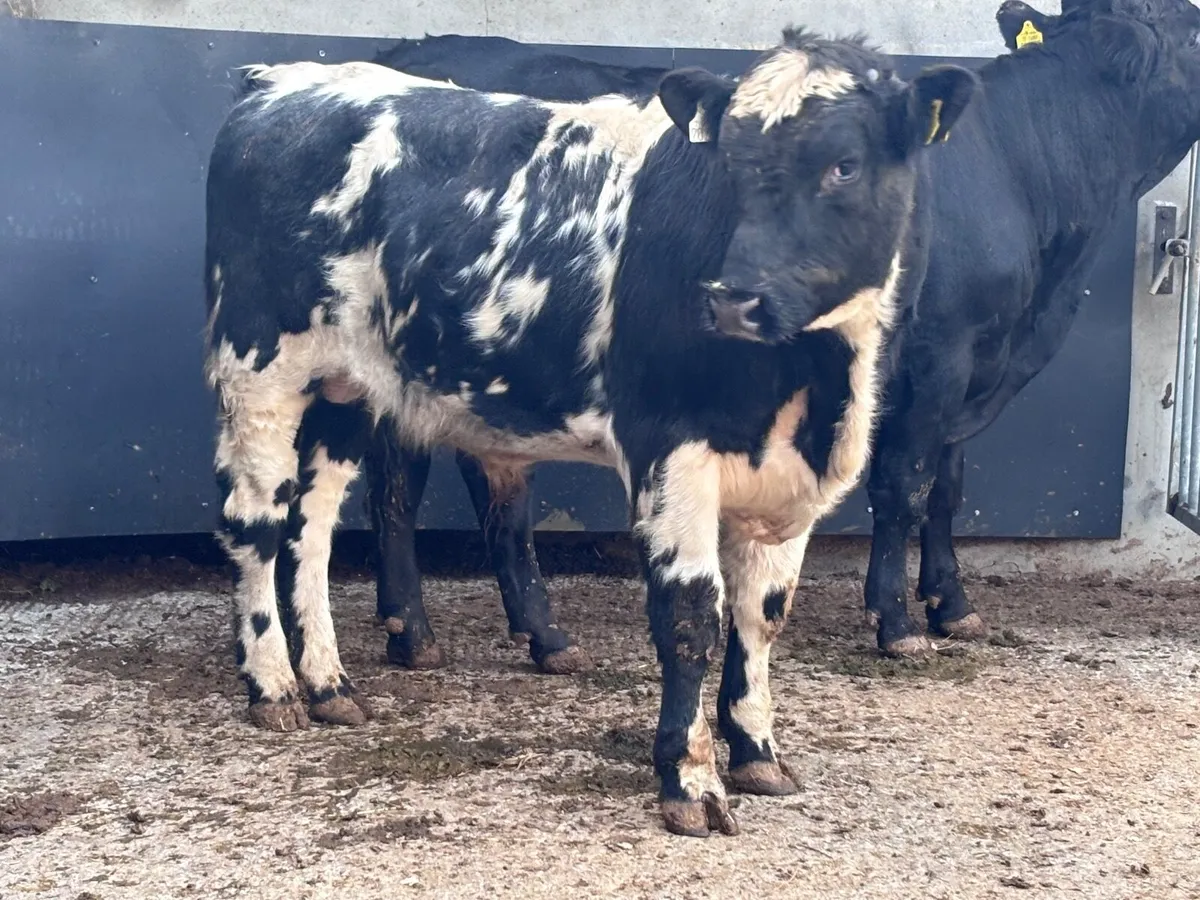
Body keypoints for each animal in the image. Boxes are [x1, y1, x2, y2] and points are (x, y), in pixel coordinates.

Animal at [203, 28, 977, 836]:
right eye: (727, 163)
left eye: (844, 164)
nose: (734, 299)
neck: (811, 389)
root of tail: (280, 81)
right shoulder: (669, 450)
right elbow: (691, 617)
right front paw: (689, 780)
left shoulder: (790, 482)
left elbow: (761, 617)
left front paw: (757, 749)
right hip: (259, 367)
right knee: (256, 524)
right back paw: (273, 687)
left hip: (345, 388)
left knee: (312, 531)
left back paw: (328, 684)